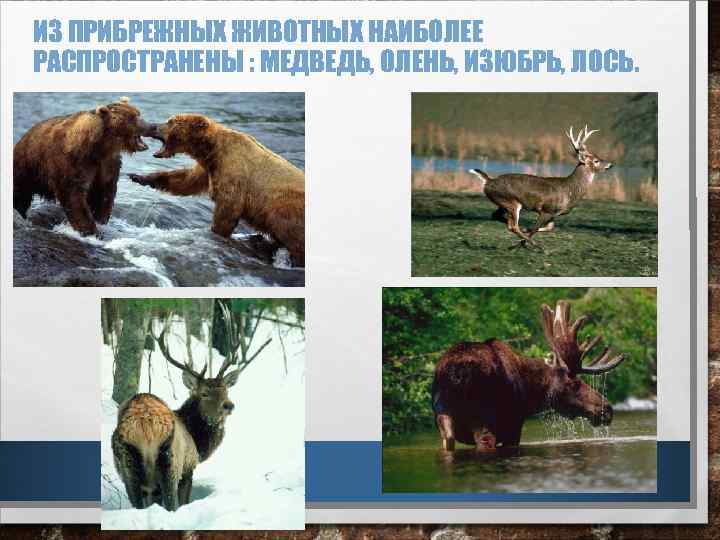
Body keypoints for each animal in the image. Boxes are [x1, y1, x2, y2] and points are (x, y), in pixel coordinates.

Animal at [13, 97, 151, 236]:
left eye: (138, 113)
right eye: (132, 117)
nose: (152, 126)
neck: (100, 146)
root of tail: (23, 137)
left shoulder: (107, 164)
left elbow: (104, 192)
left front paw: (100, 221)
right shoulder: (72, 162)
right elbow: (73, 196)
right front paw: (91, 230)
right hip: (27, 166)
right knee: (20, 193)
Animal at [111, 321, 242, 512]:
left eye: (226, 390)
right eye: (204, 393)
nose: (229, 405)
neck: (197, 441)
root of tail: (144, 425)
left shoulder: (149, 489)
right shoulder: (188, 468)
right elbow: (184, 501)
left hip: (128, 465)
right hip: (170, 463)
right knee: (171, 504)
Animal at [129, 114, 305, 267]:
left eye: (170, 121)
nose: (153, 126)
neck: (212, 149)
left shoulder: (233, 170)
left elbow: (228, 207)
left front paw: (215, 232)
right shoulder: (209, 169)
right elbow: (186, 180)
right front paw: (139, 177)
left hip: (286, 207)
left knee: (293, 238)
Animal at [432, 300, 626, 451]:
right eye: (575, 383)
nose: (607, 409)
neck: (531, 394)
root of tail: (455, 373)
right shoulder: (513, 424)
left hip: (443, 415)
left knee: (448, 440)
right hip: (481, 418)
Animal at [468, 126, 613, 250]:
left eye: (598, 157)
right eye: (596, 161)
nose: (610, 165)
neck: (571, 190)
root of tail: (488, 181)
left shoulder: (554, 214)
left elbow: (549, 228)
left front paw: (523, 238)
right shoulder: (546, 210)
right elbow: (536, 228)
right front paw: (520, 243)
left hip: (502, 203)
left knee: (497, 216)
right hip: (511, 202)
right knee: (512, 226)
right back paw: (537, 246)